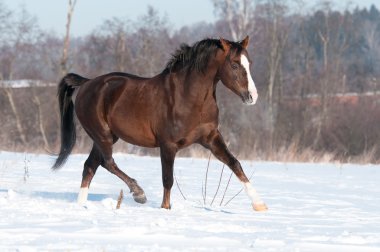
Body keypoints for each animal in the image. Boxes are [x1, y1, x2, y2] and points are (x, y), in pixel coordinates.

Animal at [52, 36, 268, 211]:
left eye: (249, 63)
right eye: (234, 64)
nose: (252, 96)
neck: (188, 97)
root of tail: (87, 83)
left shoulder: (211, 138)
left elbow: (235, 163)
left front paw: (259, 205)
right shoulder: (168, 145)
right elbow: (168, 179)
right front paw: (165, 208)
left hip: (108, 137)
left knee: (90, 167)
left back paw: (82, 206)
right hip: (101, 134)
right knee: (107, 162)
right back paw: (138, 193)